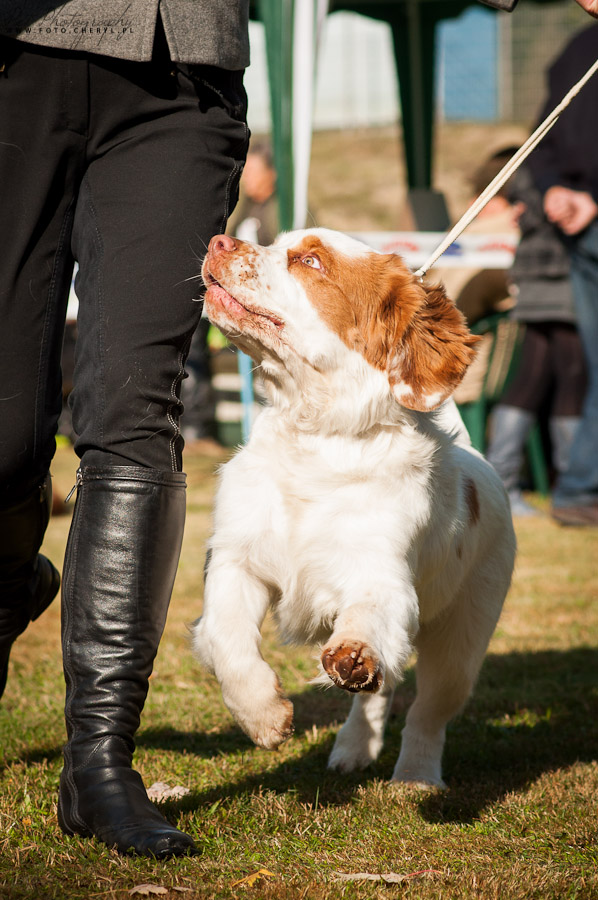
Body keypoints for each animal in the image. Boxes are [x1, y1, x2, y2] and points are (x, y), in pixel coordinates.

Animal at [192, 228, 516, 787]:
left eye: (311, 261)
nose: (219, 241)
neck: (315, 440)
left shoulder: (383, 577)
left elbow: (367, 621)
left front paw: (352, 655)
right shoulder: (237, 561)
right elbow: (226, 639)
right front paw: (265, 718)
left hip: (463, 637)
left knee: (429, 710)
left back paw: (416, 776)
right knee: (380, 693)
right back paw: (353, 748)